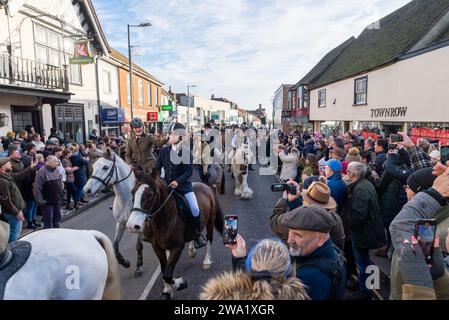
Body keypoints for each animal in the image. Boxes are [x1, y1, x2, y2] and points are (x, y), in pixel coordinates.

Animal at [83, 148, 144, 278]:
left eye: (105, 167)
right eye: (93, 166)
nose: (86, 190)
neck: (126, 199)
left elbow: (139, 245)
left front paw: (139, 267)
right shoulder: (121, 223)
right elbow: (115, 245)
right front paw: (124, 262)